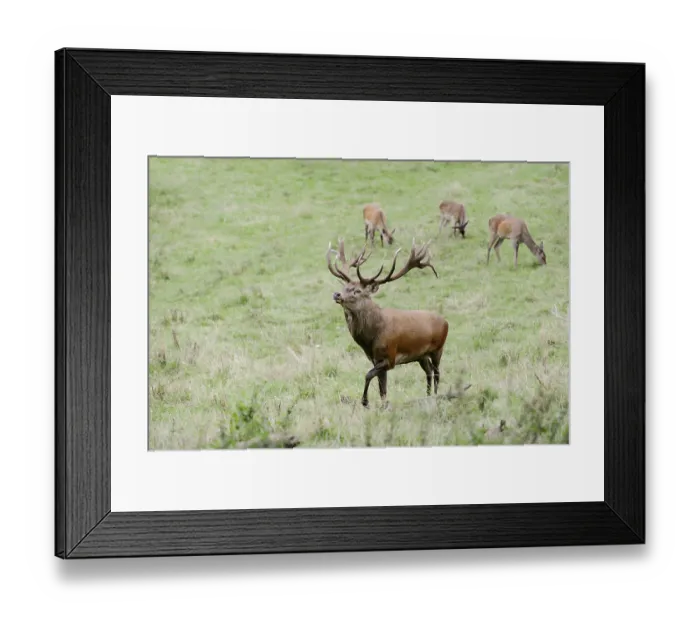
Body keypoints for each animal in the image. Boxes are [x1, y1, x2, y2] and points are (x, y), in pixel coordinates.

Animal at [326, 237, 449, 408]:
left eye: (357, 291)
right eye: (345, 287)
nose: (337, 294)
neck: (371, 337)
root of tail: (446, 321)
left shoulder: (390, 357)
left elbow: (368, 375)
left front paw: (365, 402)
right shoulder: (374, 359)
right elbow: (382, 388)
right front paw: (383, 406)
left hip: (438, 348)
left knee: (437, 372)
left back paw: (436, 395)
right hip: (421, 355)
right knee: (429, 371)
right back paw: (428, 395)